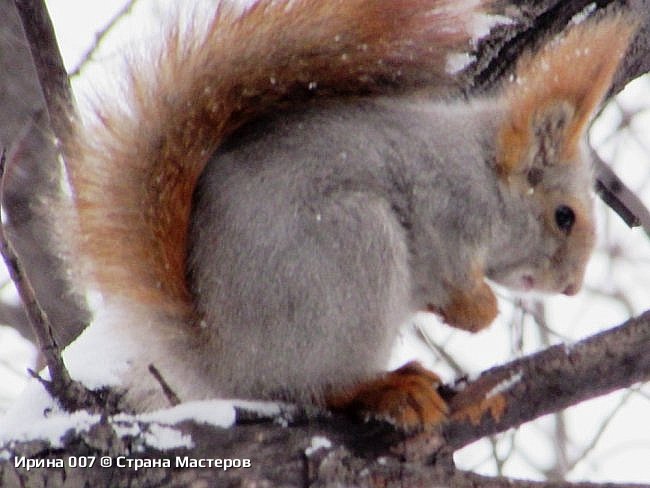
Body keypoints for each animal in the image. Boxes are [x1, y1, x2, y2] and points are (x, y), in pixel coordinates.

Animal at [55, 0, 632, 430]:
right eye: (564, 216)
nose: (573, 286)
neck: (484, 172)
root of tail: (222, 360)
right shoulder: (441, 206)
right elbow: (447, 270)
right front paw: (479, 311)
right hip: (353, 251)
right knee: (318, 386)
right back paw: (386, 389)